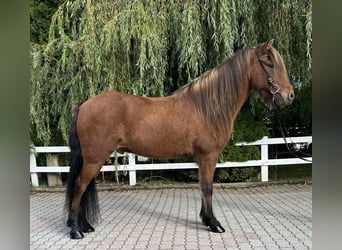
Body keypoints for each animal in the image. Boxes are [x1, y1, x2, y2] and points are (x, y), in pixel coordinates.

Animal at [66, 38, 294, 238]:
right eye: (269, 62)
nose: (290, 95)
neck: (207, 107)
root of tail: (83, 106)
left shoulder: (201, 157)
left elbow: (203, 186)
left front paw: (206, 219)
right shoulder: (208, 155)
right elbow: (208, 188)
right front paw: (214, 224)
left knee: (83, 187)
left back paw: (85, 226)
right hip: (95, 158)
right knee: (79, 186)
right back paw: (76, 230)